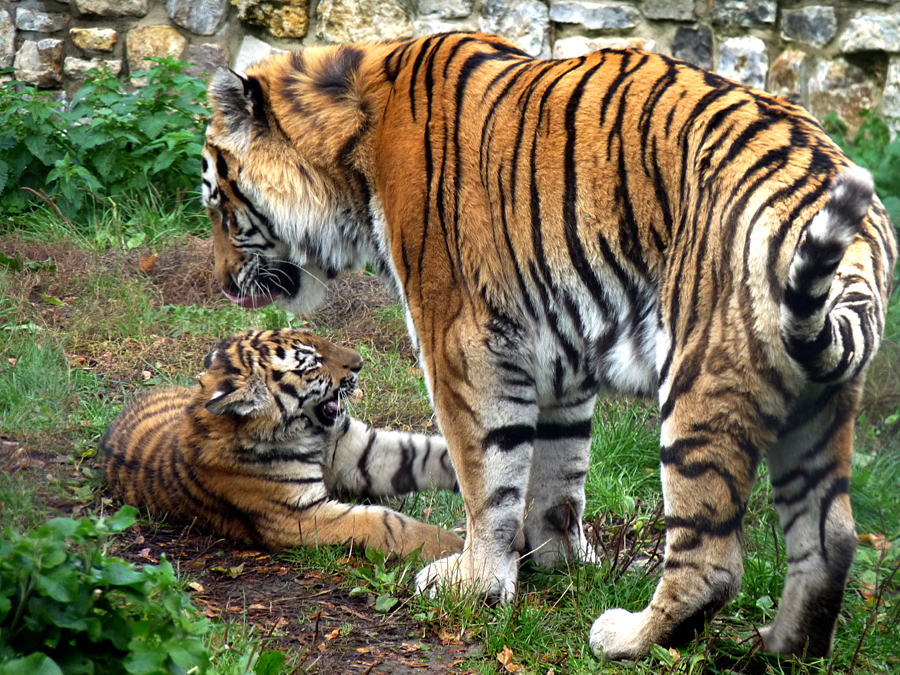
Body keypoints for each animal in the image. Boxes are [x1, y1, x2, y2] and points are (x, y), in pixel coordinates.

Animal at [200, 33, 896, 660]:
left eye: (217, 202)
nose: (224, 283)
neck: (353, 143)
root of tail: (860, 232)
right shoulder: (560, 354)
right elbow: (557, 471)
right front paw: (555, 560)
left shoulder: (461, 339)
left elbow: (488, 475)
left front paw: (475, 583)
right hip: (818, 399)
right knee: (831, 536)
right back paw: (782, 649)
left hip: (700, 384)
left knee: (713, 560)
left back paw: (627, 639)